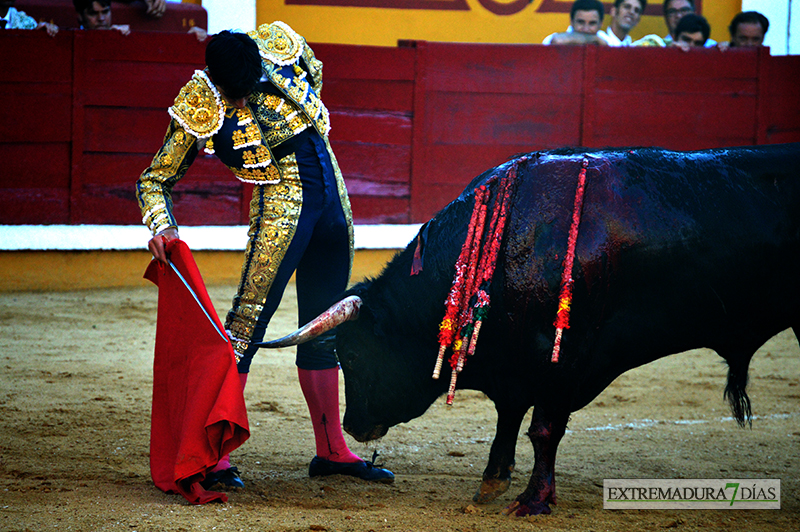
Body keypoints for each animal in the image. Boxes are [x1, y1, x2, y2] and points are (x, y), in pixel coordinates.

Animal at [260, 144, 796, 516]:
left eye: (351, 355)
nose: (353, 425)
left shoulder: (565, 359)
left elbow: (542, 428)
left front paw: (534, 500)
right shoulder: (514, 365)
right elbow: (509, 417)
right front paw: (491, 484)